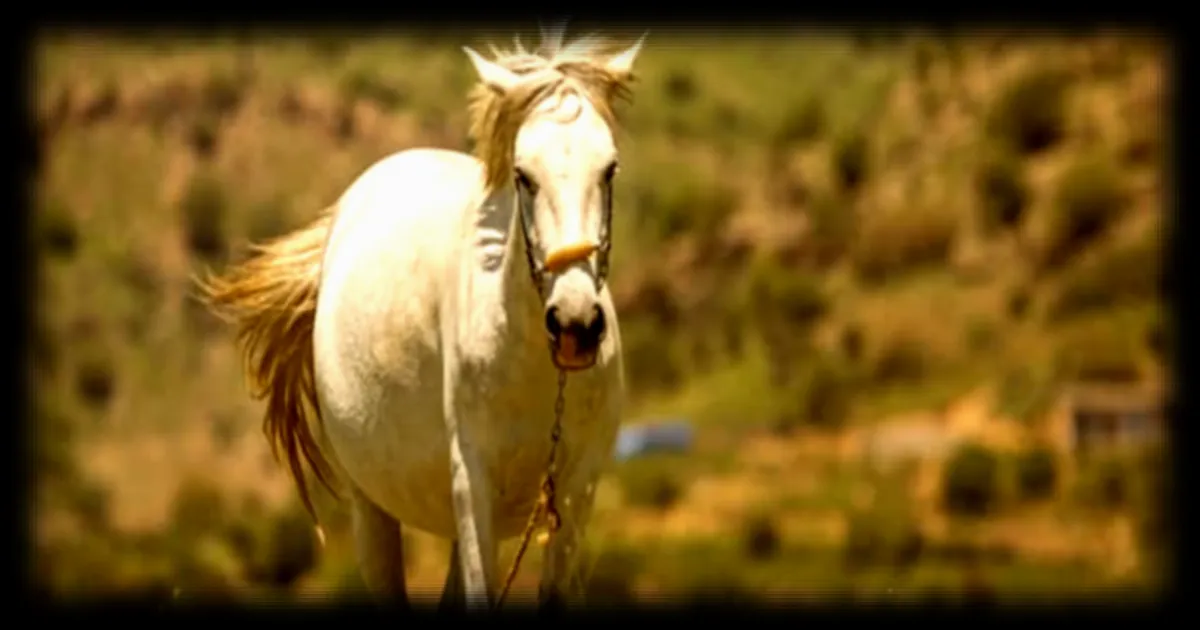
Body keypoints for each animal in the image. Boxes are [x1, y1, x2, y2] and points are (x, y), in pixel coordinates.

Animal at [198, 32, 644, 611]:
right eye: (523, 176)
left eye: (609, 169)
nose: (575, 323)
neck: (536, 373)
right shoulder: (472, 482)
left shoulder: (576, 490)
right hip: (372, 506)